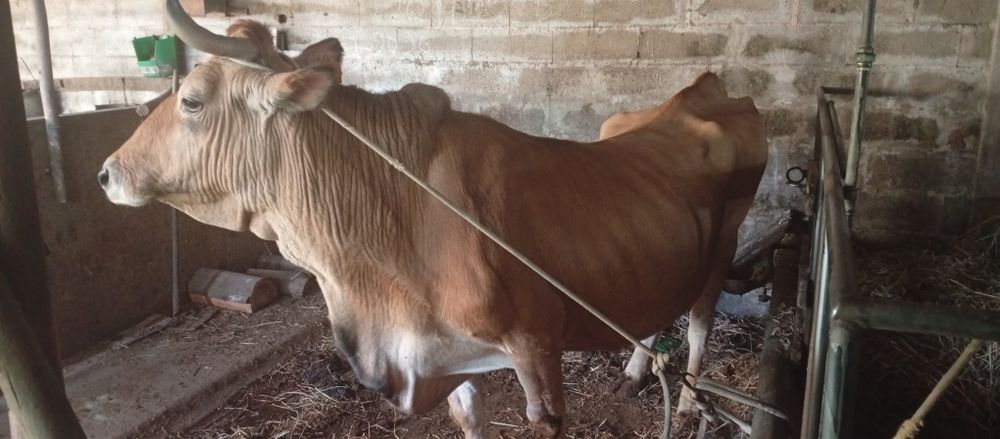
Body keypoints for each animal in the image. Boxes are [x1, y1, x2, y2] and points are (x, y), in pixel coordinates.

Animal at [98, 2, 768, 437]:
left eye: (192, 101)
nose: (106, 172)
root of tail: (704, 87)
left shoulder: (537, 348)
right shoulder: (441, 353)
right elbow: (468, 418)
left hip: (724, 246)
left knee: (701, 320)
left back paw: (689, 406)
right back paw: (633, 375)